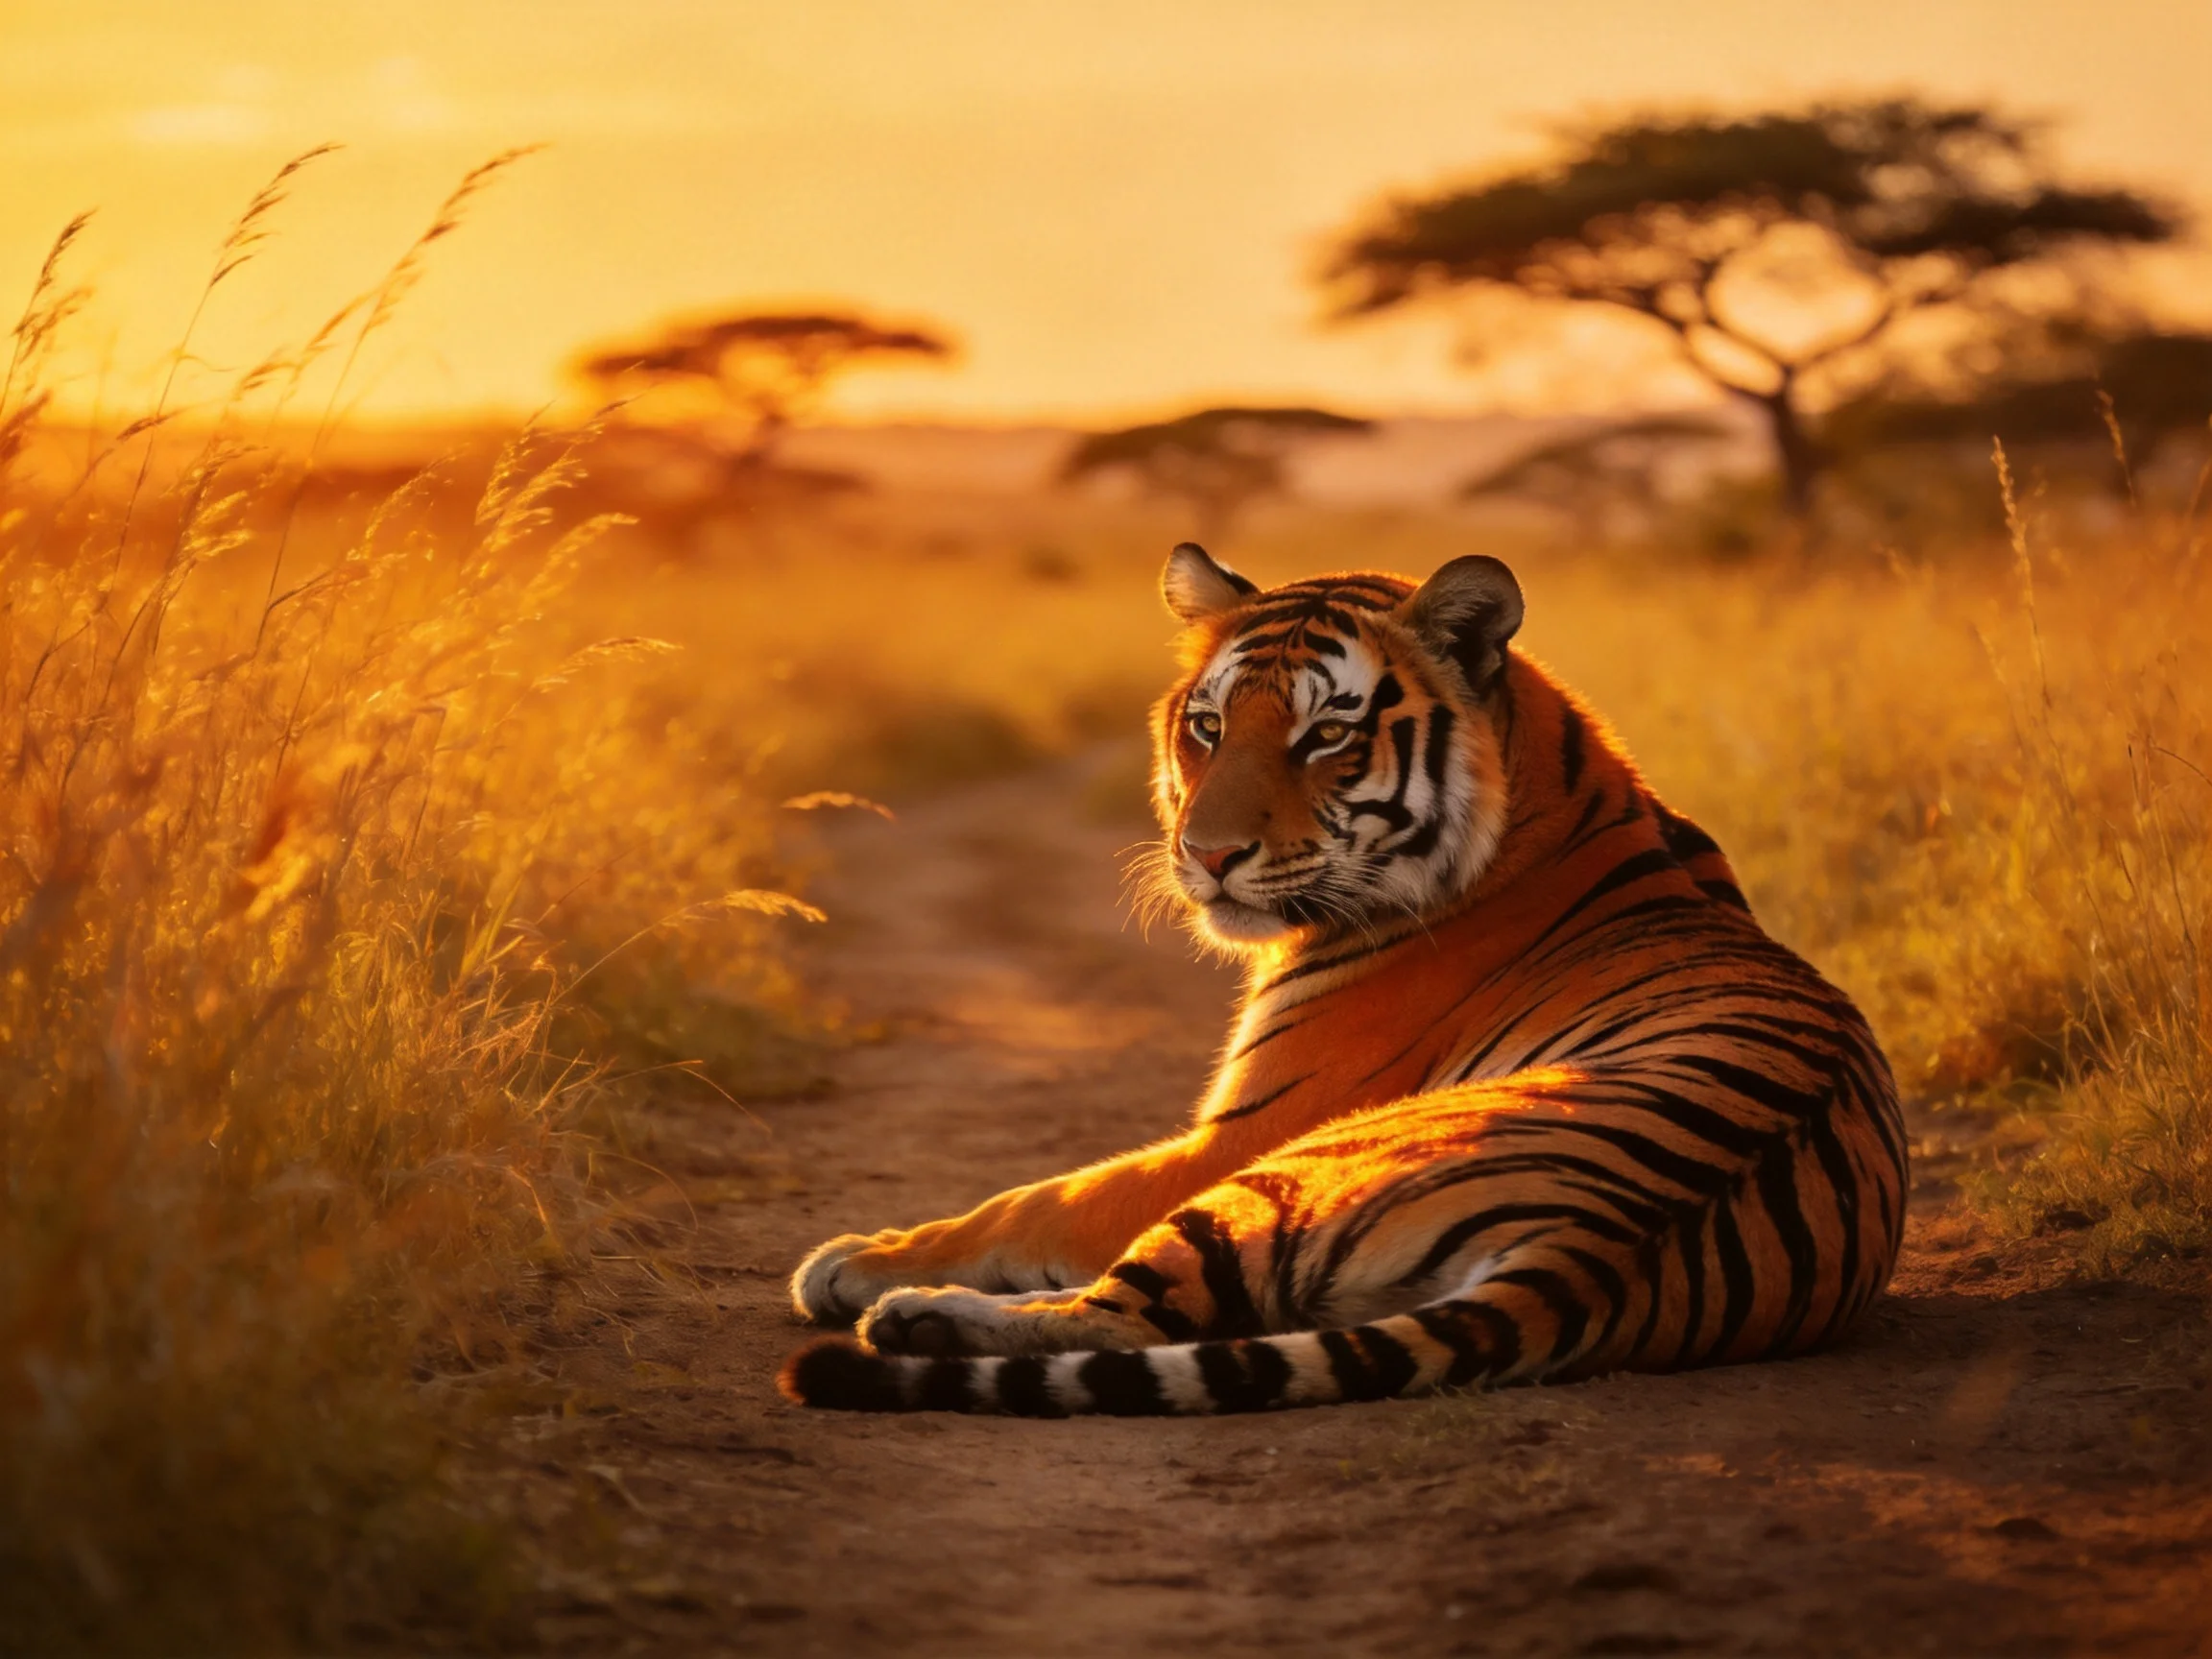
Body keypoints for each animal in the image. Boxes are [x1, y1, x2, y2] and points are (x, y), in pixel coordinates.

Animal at [779, 543, 1906, 1416]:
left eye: (1326, 734)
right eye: (1208, 726)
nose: (1208, 854)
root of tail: (1593, 1251)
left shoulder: (1242, 1130)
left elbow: (1039, 1199)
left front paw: (859, 1256)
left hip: (1283, 1171)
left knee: (1115, 1319)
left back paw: (913, 1315)